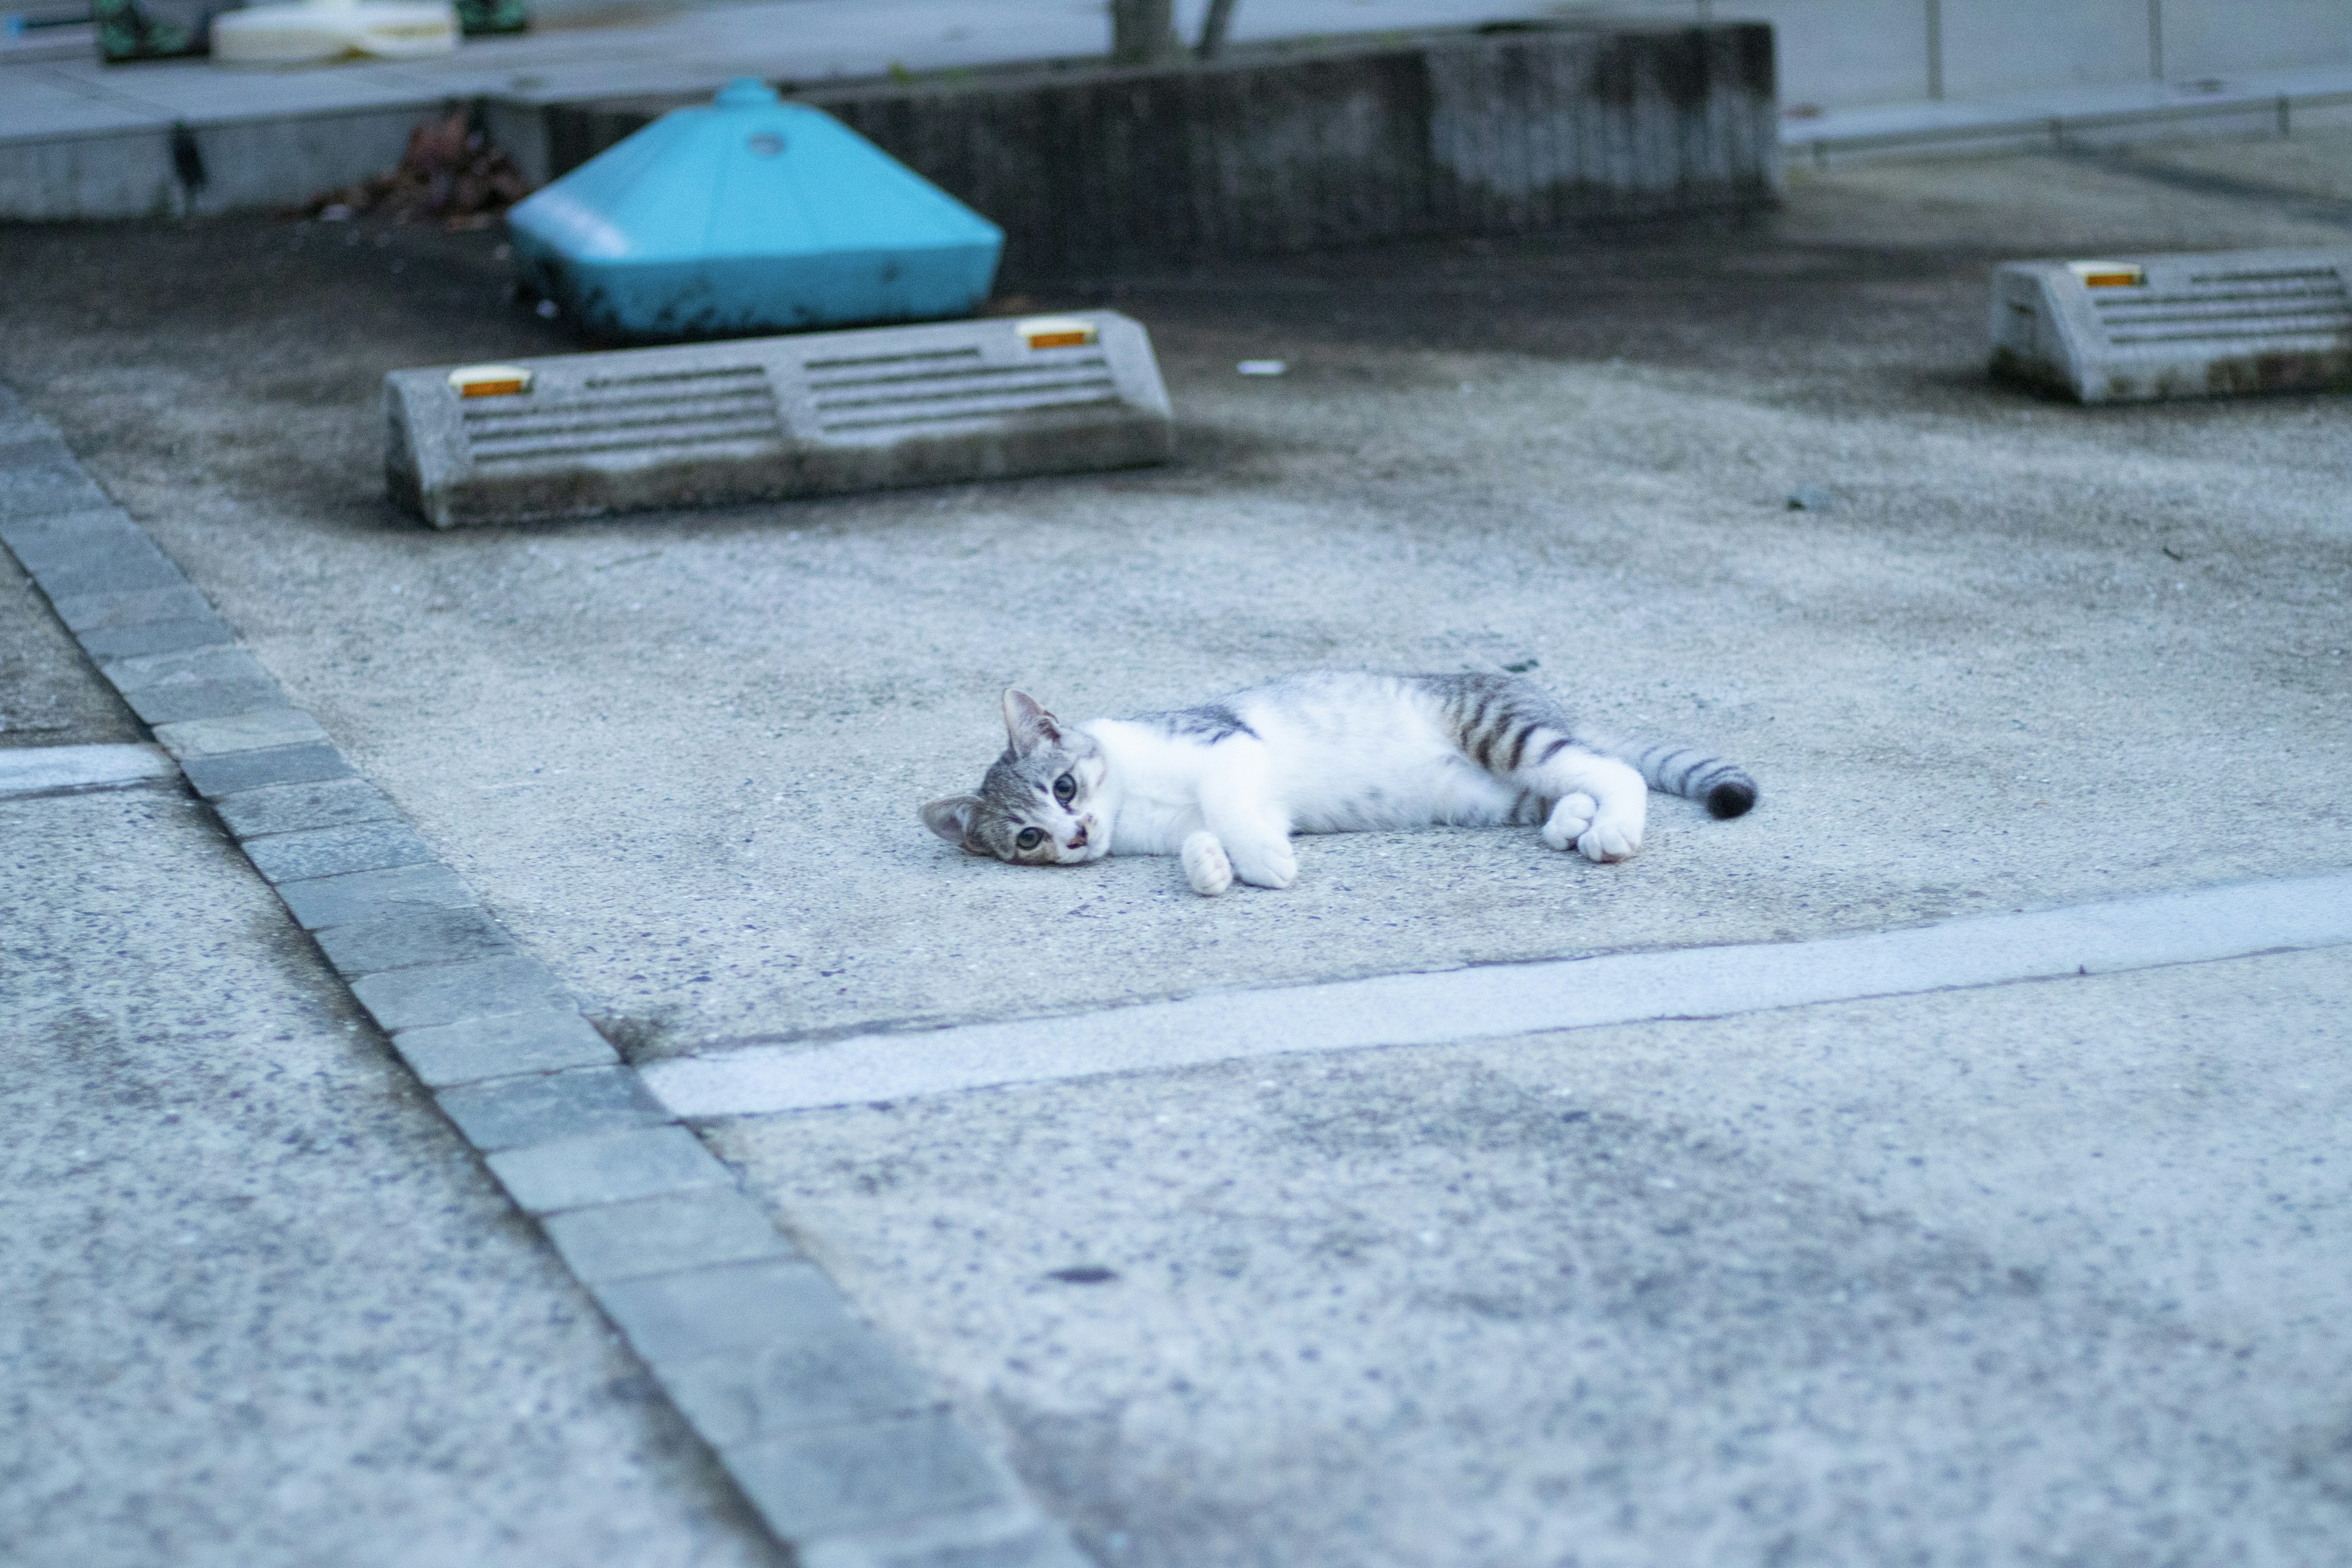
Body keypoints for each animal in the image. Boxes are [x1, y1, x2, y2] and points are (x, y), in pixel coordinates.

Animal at [917, 672, 1749, 902]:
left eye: (1063, 786)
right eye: (1028, 837)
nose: (1078, 834)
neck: (1131, 801)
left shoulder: (1227, 746)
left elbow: (1227, 803)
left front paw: (1262, 862)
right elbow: (1207, 832)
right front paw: (1211, 866)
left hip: (1500, 733)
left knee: (1615, 768)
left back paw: (1612, 827)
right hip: (1497, 793)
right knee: (1563, 787)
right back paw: (1572, 822)